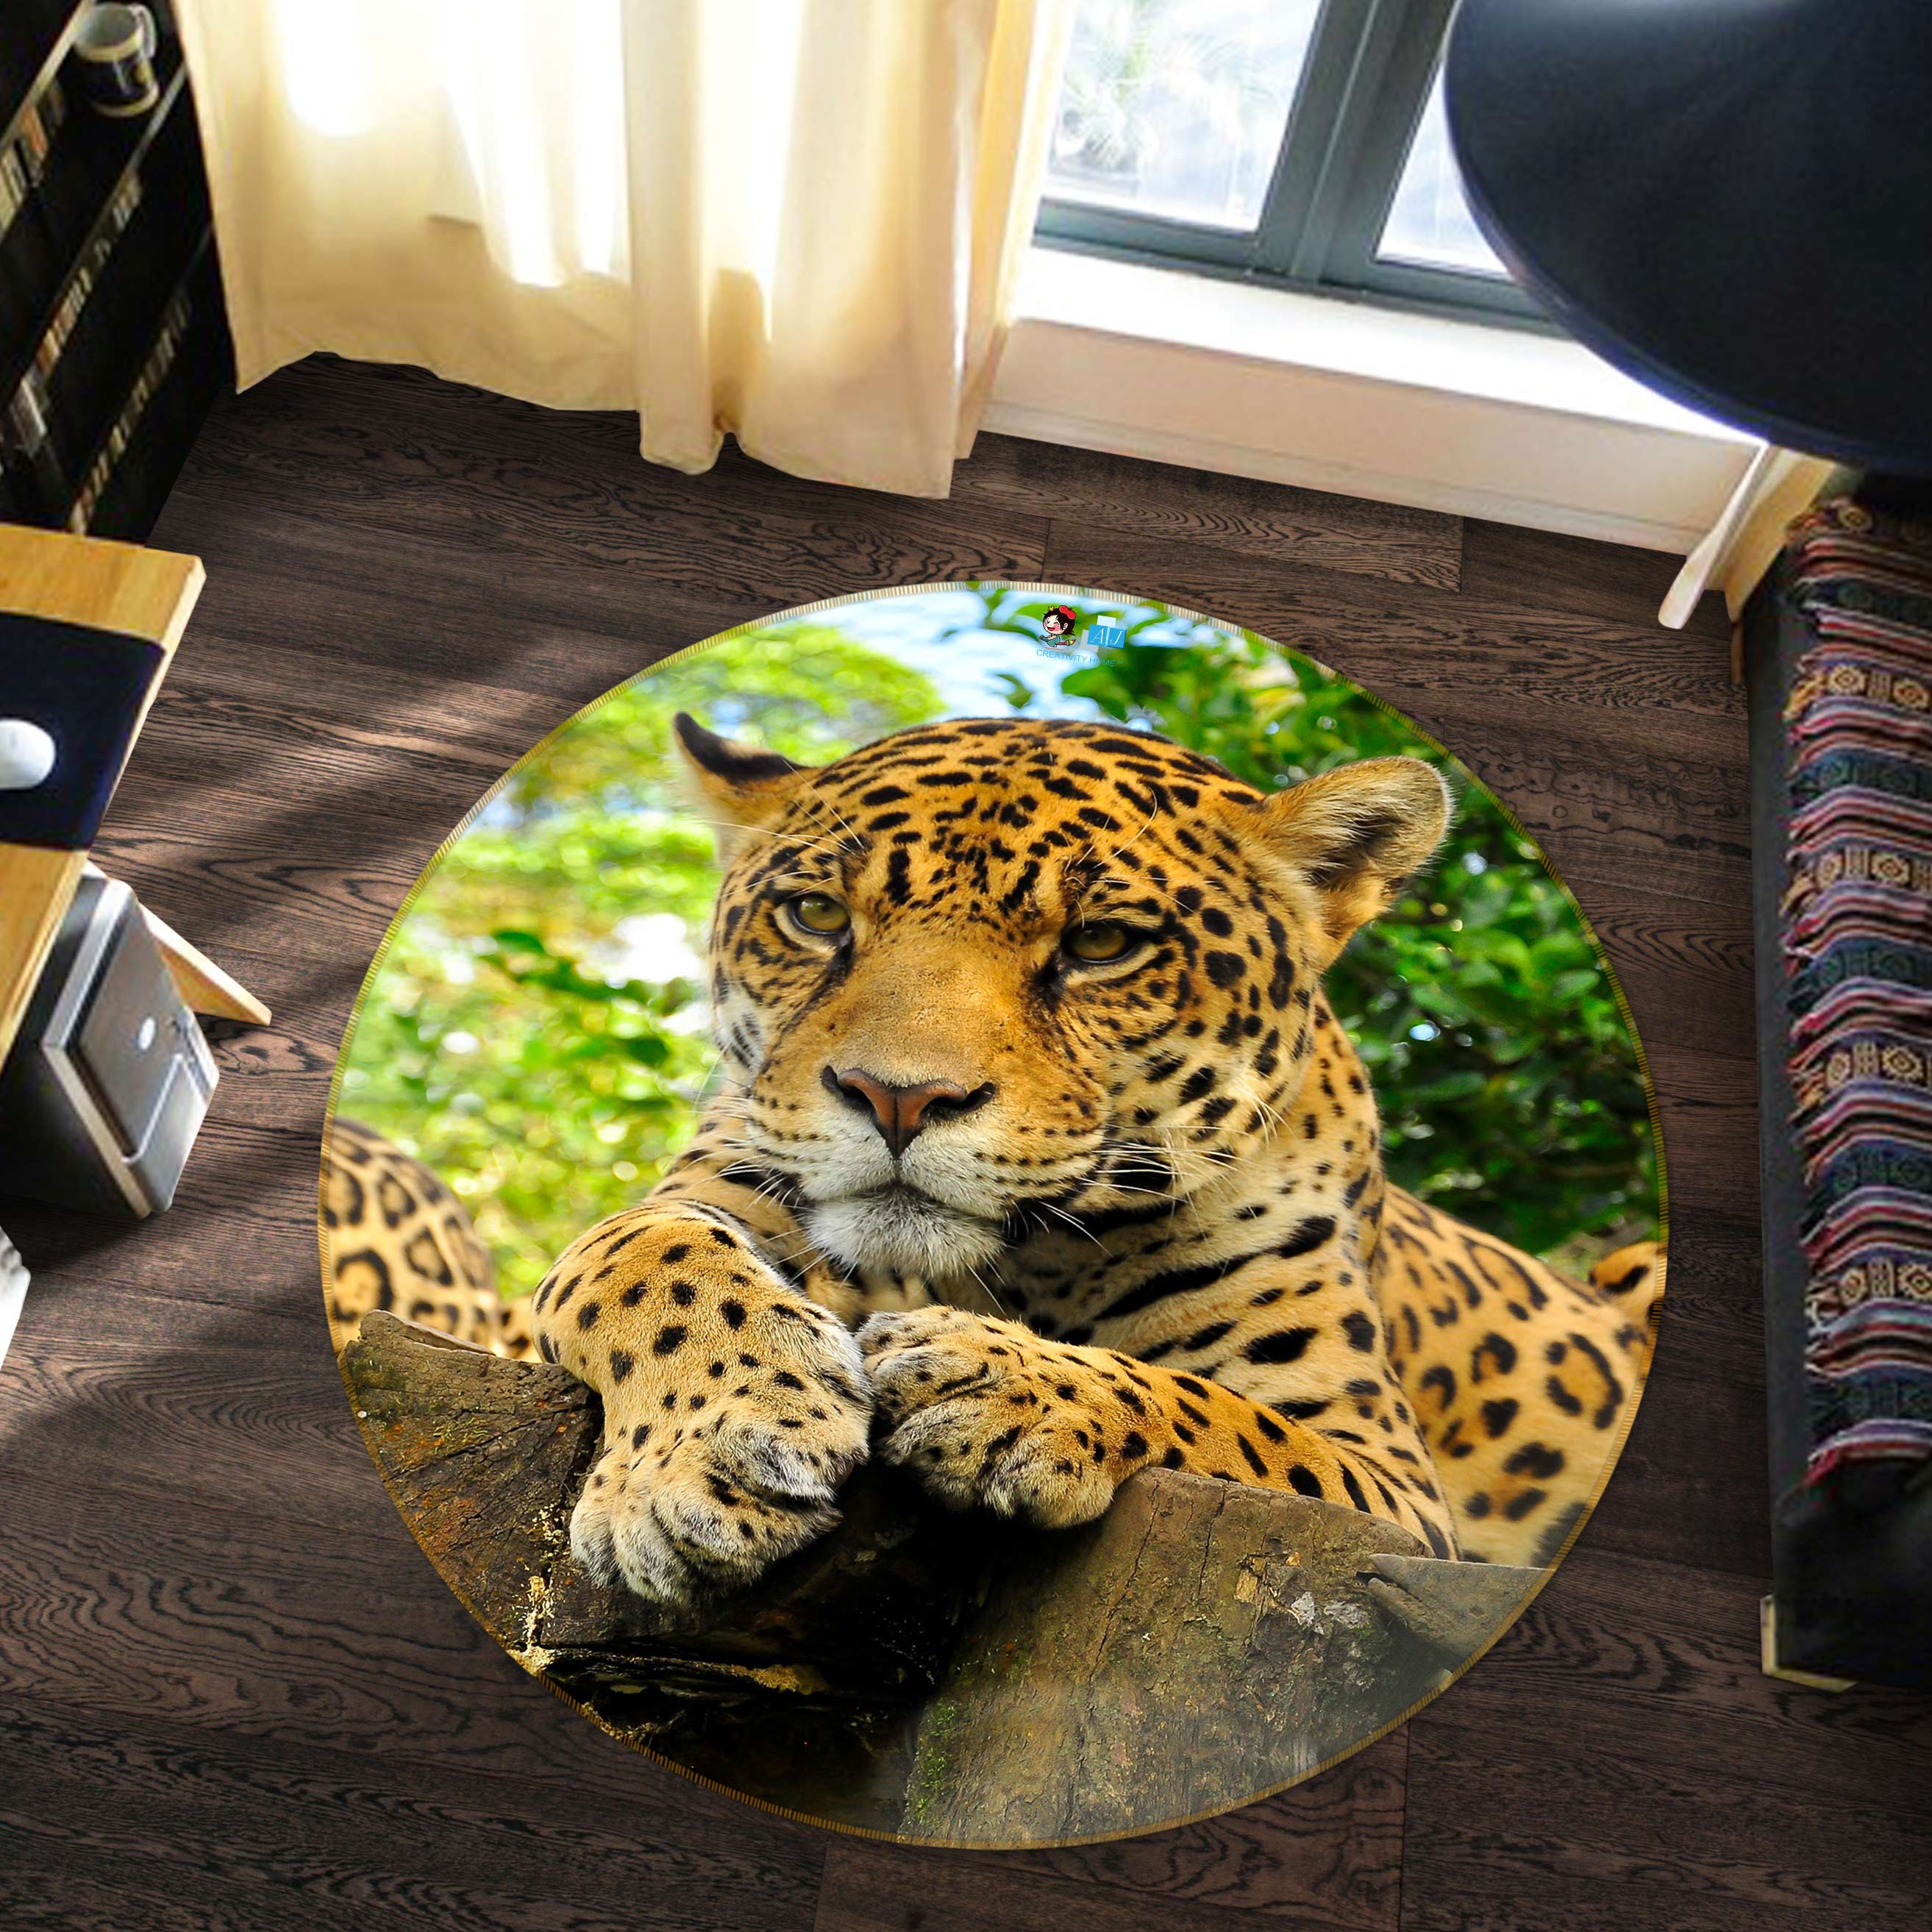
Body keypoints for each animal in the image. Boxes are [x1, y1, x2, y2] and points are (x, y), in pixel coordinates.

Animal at [327, 711, 1662, 1608]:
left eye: (1105, 943)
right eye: (817, 916)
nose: (896, 1095)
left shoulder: (1383, 1480)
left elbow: (1216, 1411)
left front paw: (1004, 1383)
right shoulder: (679, 1206)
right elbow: (641, 1258)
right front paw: (708, 1451)